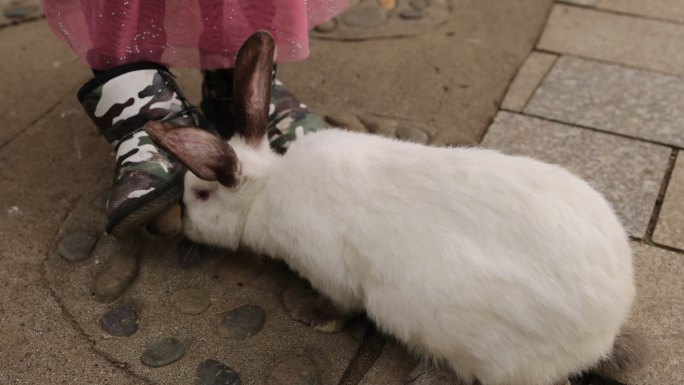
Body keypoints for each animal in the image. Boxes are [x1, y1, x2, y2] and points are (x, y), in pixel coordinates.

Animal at [146, 30, 648, 384]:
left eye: (201, 194)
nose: (176, 225)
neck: (268, 191)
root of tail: (601, 334)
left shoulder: (332, 272)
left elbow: (341, 306)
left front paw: (308, 314)